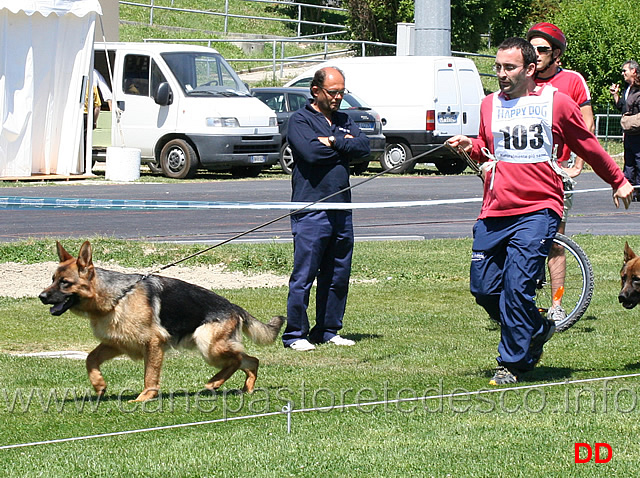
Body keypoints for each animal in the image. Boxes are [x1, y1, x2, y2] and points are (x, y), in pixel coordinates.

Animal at [37, 241, 282, 402]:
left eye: (65, 283)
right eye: (52, 279)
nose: (41, 296)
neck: (118, 296)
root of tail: (234, 307)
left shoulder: (153, 343)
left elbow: (150, 374)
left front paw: (145, 397)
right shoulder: (116, 343)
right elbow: (90, 359)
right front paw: (99, 385)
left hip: (207, 344)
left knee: (238, 359)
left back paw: (215, 382)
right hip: (214, 346)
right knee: (251, 360)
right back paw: (246, 388)